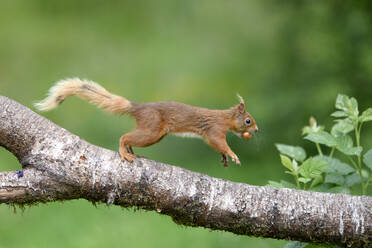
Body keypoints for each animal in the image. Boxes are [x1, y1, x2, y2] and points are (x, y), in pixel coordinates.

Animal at [35, 77, 258, 167]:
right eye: (248, 120)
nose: (256, 130)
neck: (225, 118)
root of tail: (138, 108)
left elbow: (217, 146)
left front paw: (225, 158)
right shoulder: (215, 129)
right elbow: (219, 142)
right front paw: (233, 155)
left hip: (152, 133)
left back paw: (133, 152)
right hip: (152, 131)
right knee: (124, 137)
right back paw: (125, 153)